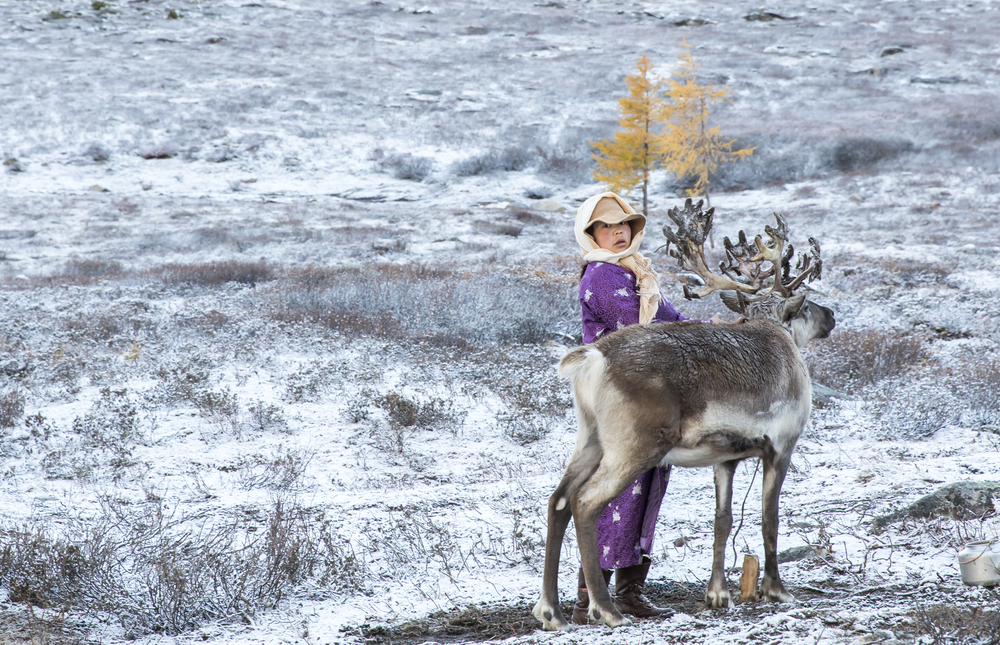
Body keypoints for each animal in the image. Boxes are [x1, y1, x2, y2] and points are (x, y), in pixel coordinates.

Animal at [533, 199, 836, 631]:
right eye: (807, 304)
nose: (832, 316)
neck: (778, 331)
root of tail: (593, 358)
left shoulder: (726, 457)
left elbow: (723, 520)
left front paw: (718, 594)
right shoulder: (782, 445)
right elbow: (769, 518)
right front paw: (776, 590)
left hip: (590, 439)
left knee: (558, 500)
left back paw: (551, 610)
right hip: (636, 445)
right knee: (586, 502)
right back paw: (606, 609)